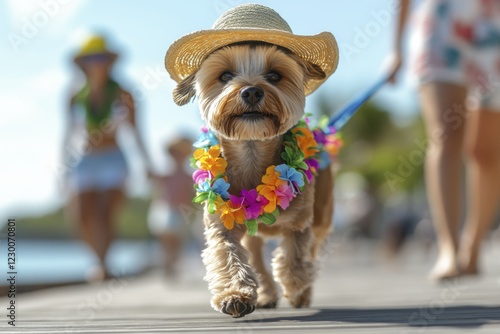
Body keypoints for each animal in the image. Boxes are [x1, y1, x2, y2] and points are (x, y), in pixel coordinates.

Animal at [166, 3, 338, 318]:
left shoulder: (301, 222)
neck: (252, 153)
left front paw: (295, 287)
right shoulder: (222, 222)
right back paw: (266, 294)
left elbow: (296, 257)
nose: (251, 90)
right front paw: (235, 295)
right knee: (256, 255)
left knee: (313, 247)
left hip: (323, 210)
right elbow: (228, 254)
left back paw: (301, 293)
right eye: (225, 76)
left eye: (274, 75)